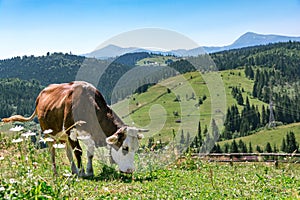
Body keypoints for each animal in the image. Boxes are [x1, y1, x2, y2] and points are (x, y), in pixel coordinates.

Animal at [1, 80, 147, 176]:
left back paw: (73, 171)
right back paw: (56, 172)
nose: (130, 170)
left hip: (64, 136)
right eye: (125, 148)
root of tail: (41, 95)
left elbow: (89, 153)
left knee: (67, 153)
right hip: (49, 133)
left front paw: (89, 171)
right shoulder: (71, 131)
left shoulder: (88, 135)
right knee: (52, 152)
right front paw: (82, 172)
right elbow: (78, 152)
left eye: (136, 148)